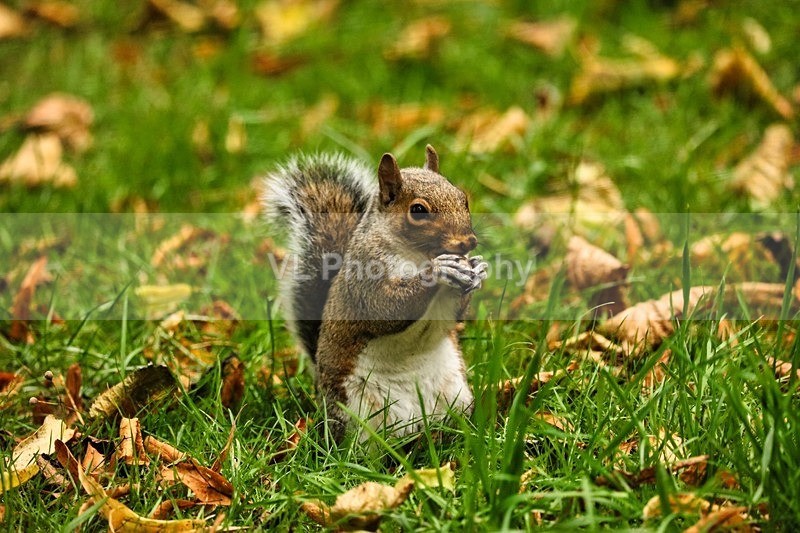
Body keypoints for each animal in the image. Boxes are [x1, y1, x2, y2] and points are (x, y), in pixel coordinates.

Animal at [262, 145, 487, 441]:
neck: (417, 255)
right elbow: (387, 307)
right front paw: (439, 270)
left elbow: (454, 312)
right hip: (357, 412)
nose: (469, 242)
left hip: (455, 396)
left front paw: (478, 269)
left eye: (463, 199)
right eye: (418, 210)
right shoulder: (365, 281)